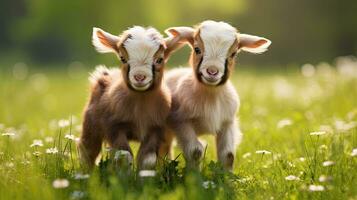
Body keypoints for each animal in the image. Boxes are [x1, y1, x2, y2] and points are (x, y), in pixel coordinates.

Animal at [79, 25, 177, 170]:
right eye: (122, 58)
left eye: (160, 59)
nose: (140, 77)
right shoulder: (114, 126)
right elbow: (124, 156)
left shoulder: (156, 129)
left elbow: (148, 159)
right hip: (91, 125)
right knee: (88, 150)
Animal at [163, 20, 272, 170]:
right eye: (197, 49)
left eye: (233, 54)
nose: (212, 71)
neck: (211, 97)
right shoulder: (181, 122)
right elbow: (195, 151)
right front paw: (193, 175)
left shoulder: (228, 122)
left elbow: (228, 155)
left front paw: (226, 175)